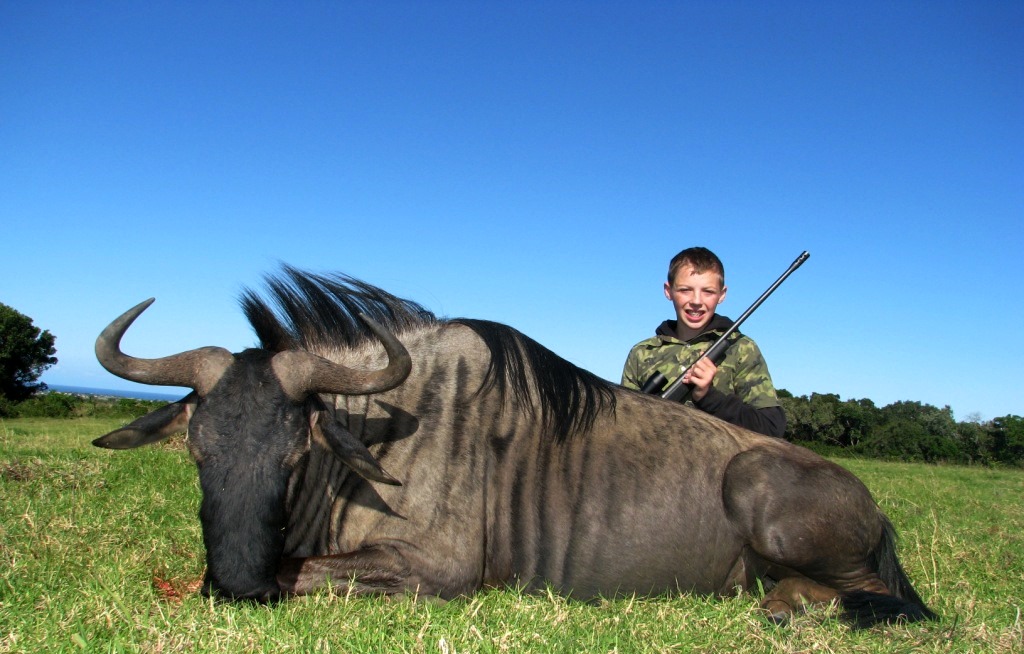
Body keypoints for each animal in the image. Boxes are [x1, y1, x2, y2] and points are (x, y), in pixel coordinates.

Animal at [92, 266, 936, 628]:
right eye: (198, 453)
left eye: (295, 456)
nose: (238, 585)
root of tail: (875, 511)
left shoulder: (433, 571)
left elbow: (300, 576)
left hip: (765, 492)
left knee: (872, 596)